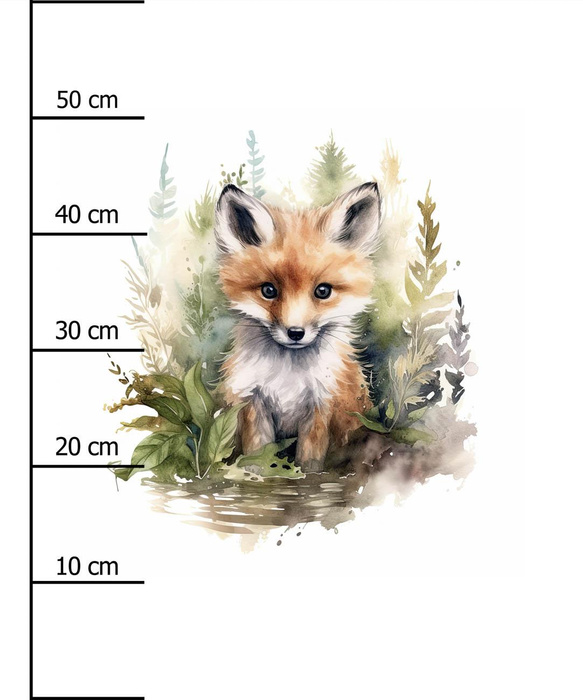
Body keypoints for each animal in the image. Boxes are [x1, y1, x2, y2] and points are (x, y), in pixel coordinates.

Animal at [215, 181, 382, 473]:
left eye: (323, 291)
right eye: (269, 290)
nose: (295, 333)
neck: (288, 378)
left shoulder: (321, 405)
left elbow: (309, 463)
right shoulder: (253, 403)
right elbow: (256, 458)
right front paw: (255, 478)